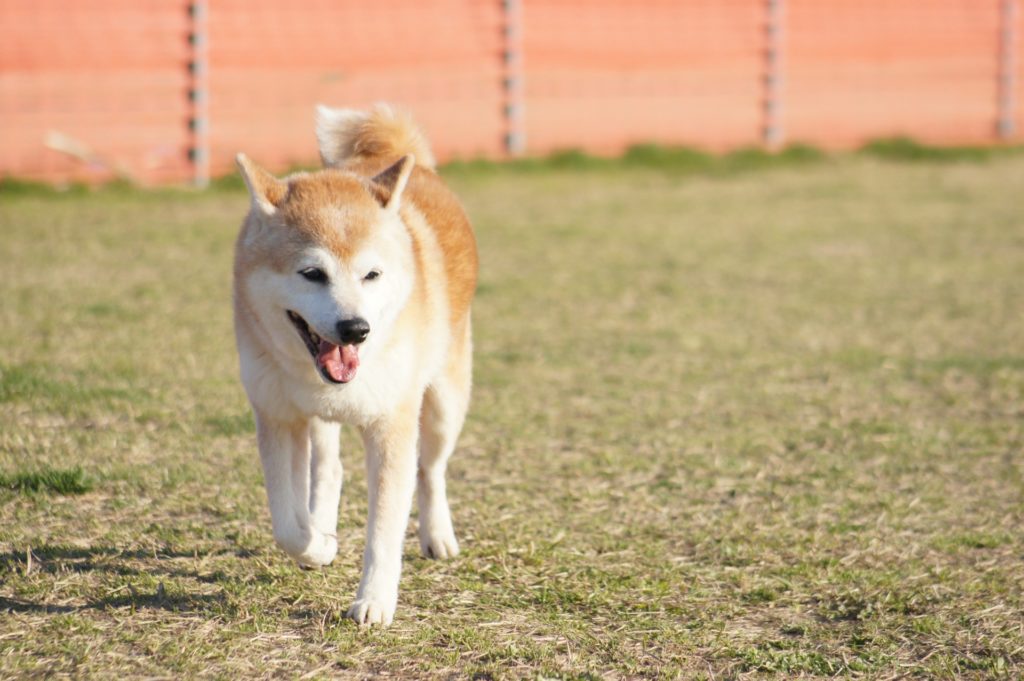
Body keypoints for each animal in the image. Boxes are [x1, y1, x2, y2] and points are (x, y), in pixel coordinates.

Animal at [235, 103, 479, 622]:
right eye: (312, 273)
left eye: (372, 275)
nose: (355, 329)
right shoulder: (277, 415)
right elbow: (287, 524)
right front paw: (319, 545)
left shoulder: (391, 426)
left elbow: (385, 530)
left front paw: (374, 601)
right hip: (317, 421)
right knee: (329, 470)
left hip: (445, 402)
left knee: (430, 470)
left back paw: (437, 535)